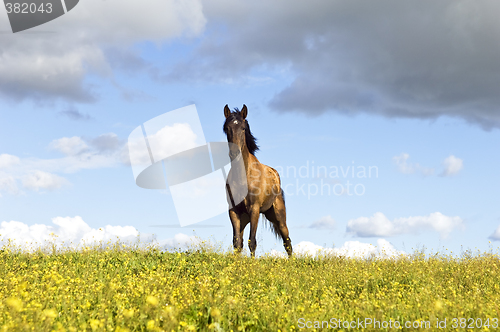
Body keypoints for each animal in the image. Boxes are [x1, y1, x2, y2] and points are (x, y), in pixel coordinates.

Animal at [224, 104, 292, 256]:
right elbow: (237, 243)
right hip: (244, 219)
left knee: (287, 242)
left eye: (243, 128)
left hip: (279, 217)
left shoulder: (254, 210)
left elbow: (252, 242)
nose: (234, 153)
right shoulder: (234, 211)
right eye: (226, 128)